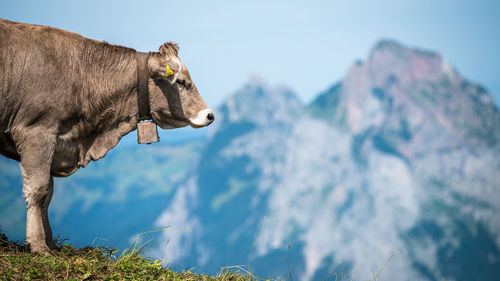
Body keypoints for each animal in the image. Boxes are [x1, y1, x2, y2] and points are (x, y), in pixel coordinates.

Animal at [0, 18, 213, 253]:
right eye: (182, 82)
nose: (210, 115)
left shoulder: (53, 143)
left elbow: (48, 195)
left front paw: (52, 244)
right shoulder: (36, 131)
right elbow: (38, 191)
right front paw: (38, 245)